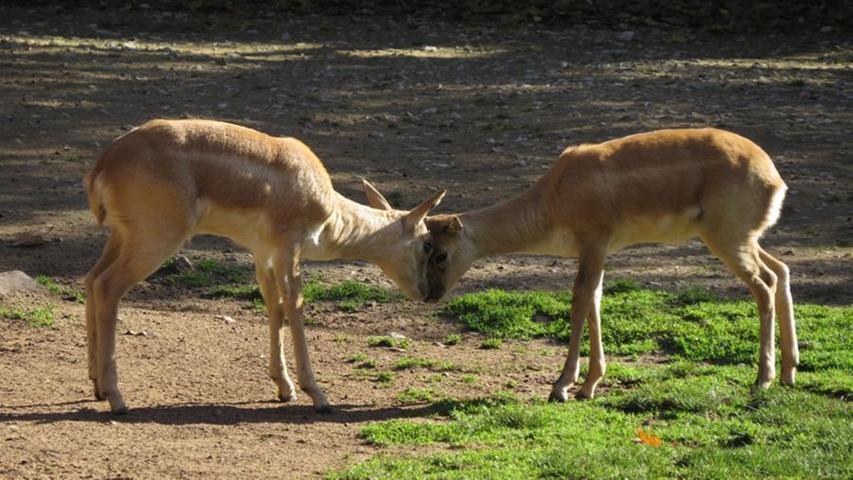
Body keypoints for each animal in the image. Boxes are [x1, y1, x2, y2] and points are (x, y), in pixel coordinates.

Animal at [83, 119, 446, 412]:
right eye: (427, 244)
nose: (428, 293)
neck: (326, 206)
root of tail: (104, 164)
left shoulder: (263, 254)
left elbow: (274, 306)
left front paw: (284, 387)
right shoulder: (289, 248)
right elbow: (295, 304)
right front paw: (318, 395)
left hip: (123, 236)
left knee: (91, 279)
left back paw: (97, 386)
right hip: (155, 240)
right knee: (108, 286)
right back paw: (117, 398)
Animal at [416, 127, 796, 402]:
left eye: (440, 253)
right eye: (424, 247)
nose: (430, 295)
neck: (554, 195)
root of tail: (773, 176)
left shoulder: (594, 244)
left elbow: (580, 300)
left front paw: (561, 387)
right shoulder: (597, 253)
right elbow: (595, 301)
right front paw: (588, 386)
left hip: (728, 241)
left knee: (764, 285)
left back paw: (763, 379)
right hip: (744, 239)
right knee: (781, 271)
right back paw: (789, 373)